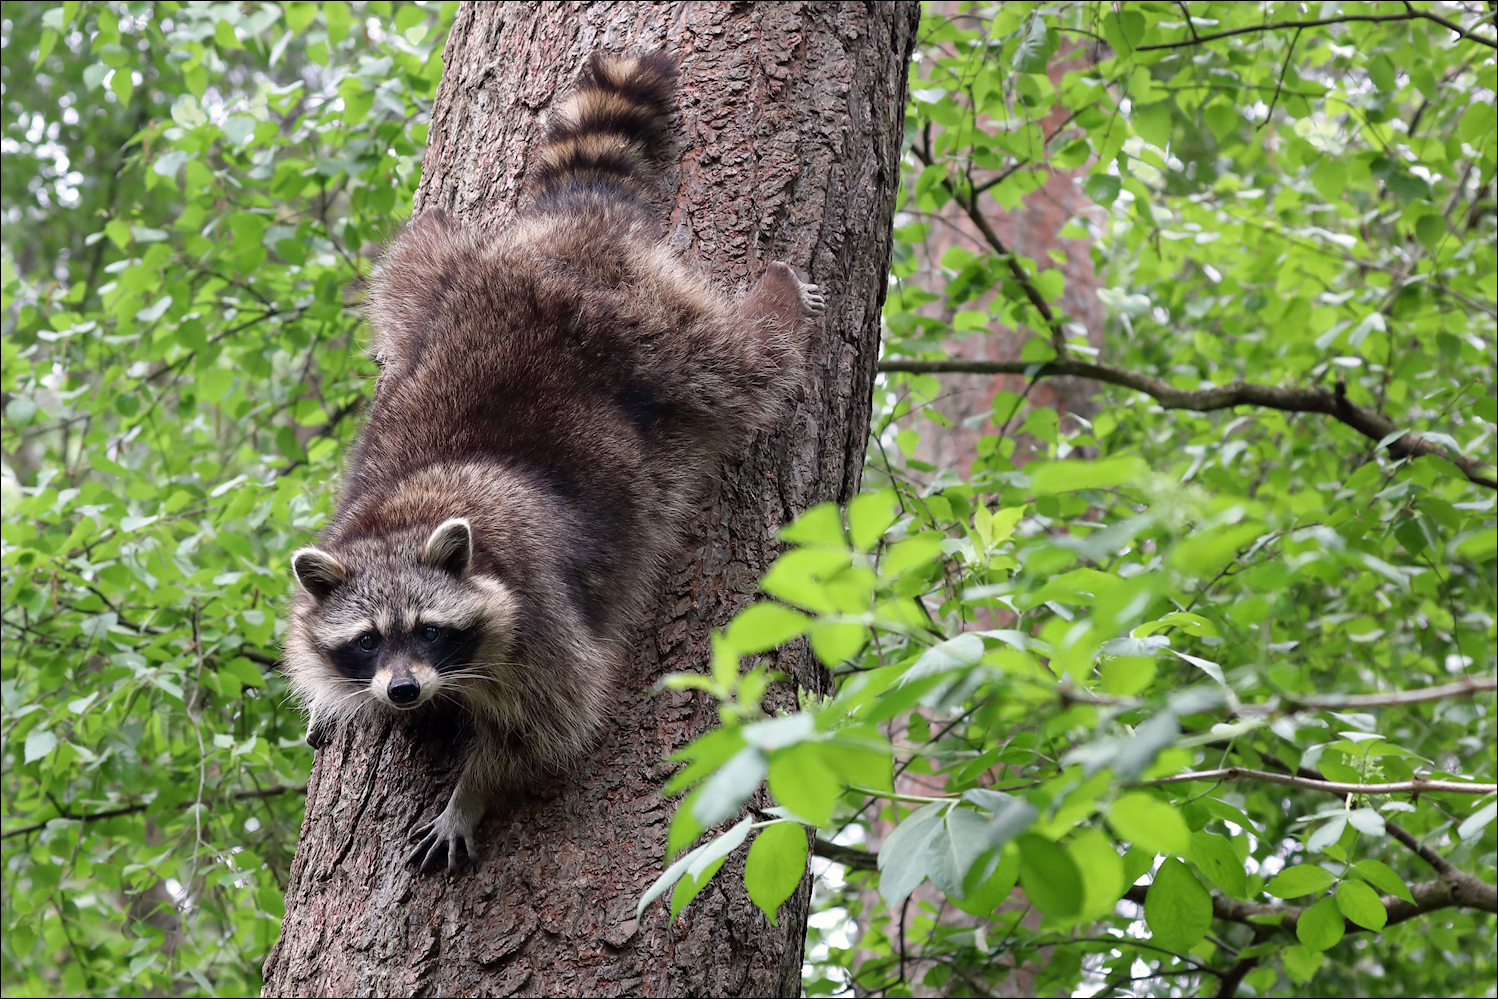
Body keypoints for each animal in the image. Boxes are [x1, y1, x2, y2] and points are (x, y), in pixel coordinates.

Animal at [281, 52, 820, 874]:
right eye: (367, 641)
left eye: (430, 630)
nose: (402, 692)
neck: (405, 519)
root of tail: (572, 229)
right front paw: (332, 700)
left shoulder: (540, 617)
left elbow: (550, 723)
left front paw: (471, 792)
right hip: (449, 281)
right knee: (414, 255)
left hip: (655, 327)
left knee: (744, 361)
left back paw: (779, 296)